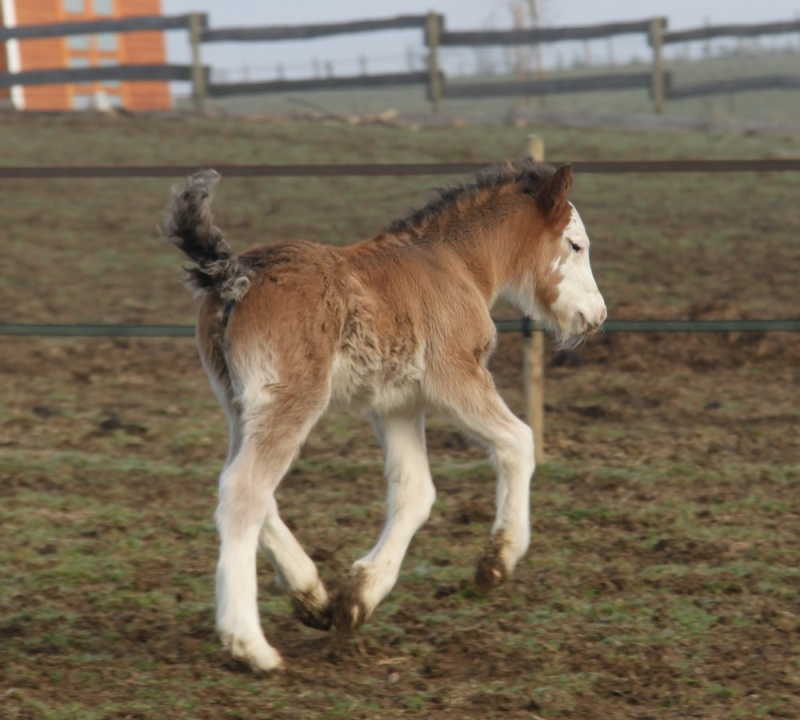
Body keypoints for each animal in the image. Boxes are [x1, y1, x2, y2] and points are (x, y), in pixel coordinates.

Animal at [164, 160, 608, 672]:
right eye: (575, 245)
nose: (597, 316)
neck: (456, 264)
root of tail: (234, 274)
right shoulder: (454, 378)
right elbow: (519, 441)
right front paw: (496, 562)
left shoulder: (396, 405)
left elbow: (415, 491)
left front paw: (358, 598)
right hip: (291, 400)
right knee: (244, 491)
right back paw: (250, 645)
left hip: (240, 404)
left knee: (240, 484)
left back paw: (311, 596)